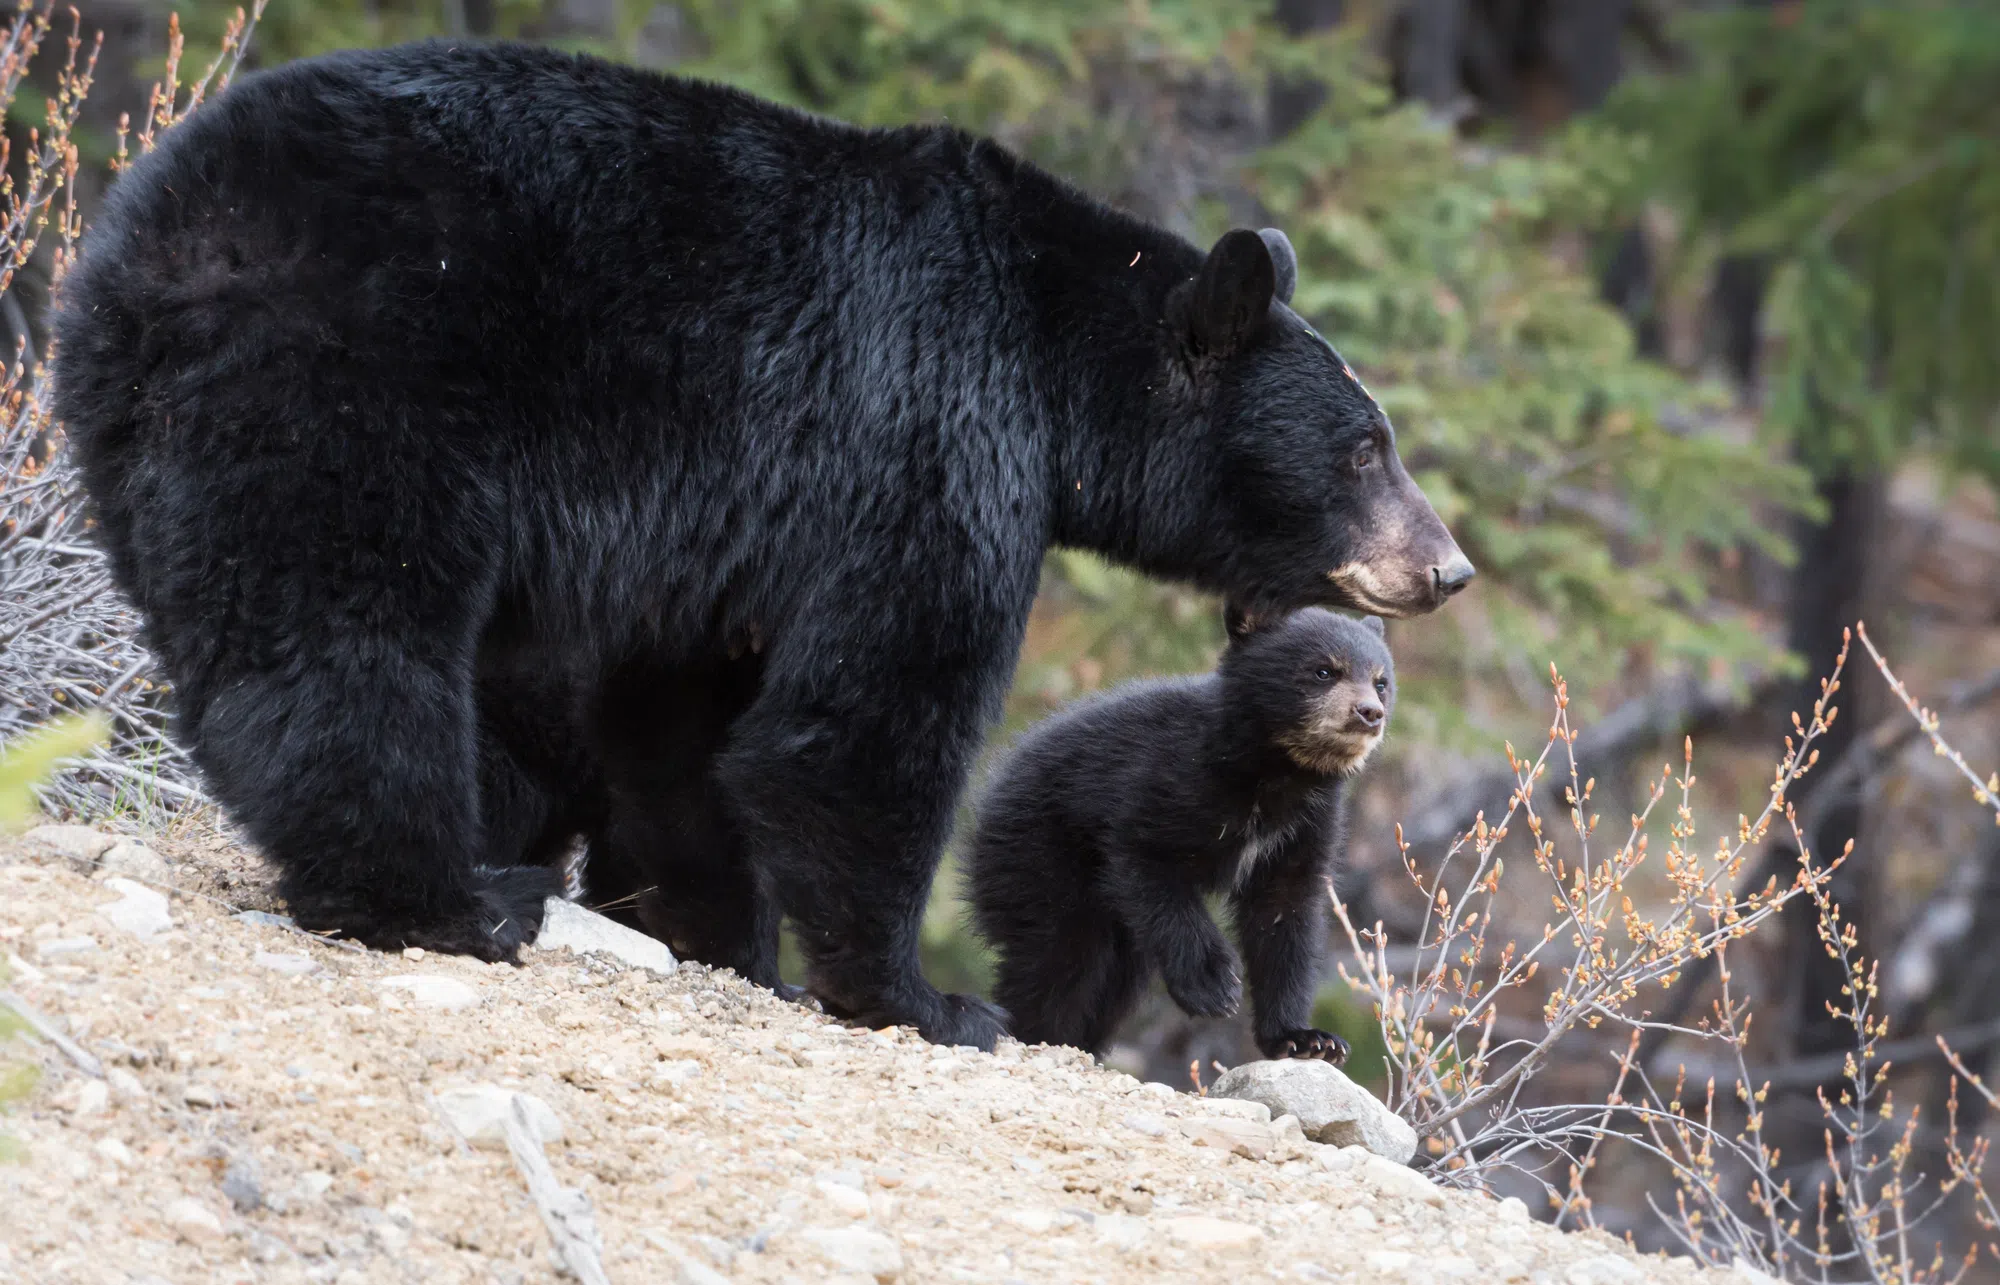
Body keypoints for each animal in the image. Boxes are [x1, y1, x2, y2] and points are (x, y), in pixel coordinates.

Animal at [968, 604, 1392, 1056]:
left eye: (1381, 682)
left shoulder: (1306, 826)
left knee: (1112, 981)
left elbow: (1284, 916)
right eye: (1324, 671)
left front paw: (1305, 1038)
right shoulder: (1170, 780)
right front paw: (1213, 986)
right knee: (1061, 956)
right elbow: (1148, 861)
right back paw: (1038, 1033)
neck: (1273, 774)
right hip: (1038, 852)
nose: (1370, 713)